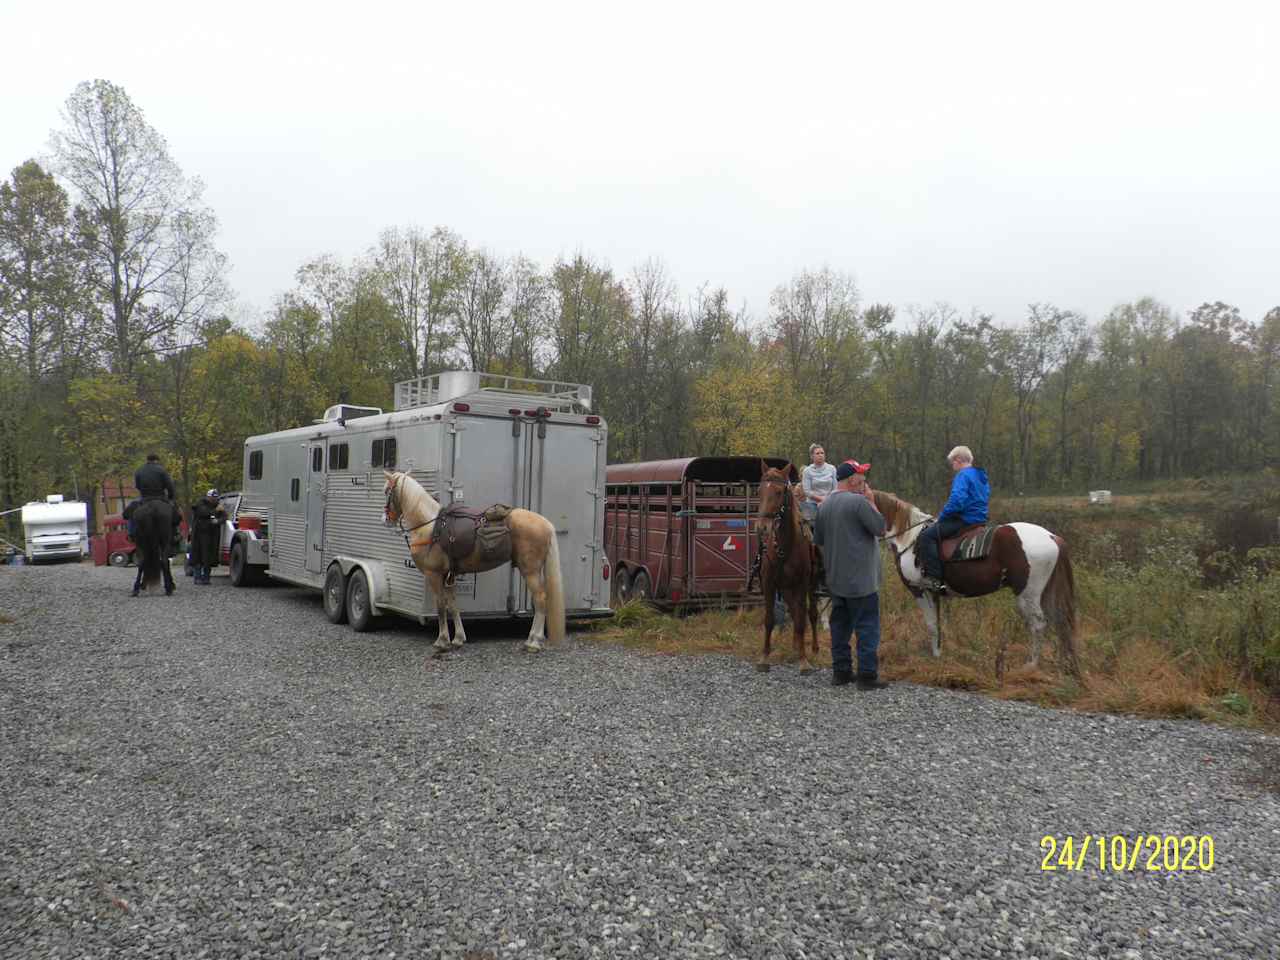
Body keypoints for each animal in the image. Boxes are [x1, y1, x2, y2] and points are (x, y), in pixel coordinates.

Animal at [378, 471, 560, 655]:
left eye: (386, 491)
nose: (385, 519)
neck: (429, 527)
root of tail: (546, 523)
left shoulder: (434, 575)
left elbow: (441, 606)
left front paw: (442, 641)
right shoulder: (449, 576)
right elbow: (452, 605)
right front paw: (458, 638)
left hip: (530, 571)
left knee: (540, 599)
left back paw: (534, 642)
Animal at [747, 465, 819, 675]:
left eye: (779, 492)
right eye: (759, 491)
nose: (762, 527)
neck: (786, 546)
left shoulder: (802, 584)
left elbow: (802, 619)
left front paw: (804, 661)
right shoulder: (770, 585)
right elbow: (770, 619)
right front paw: (764, 657)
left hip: (810, 586)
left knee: (810, 614)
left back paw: (813, 648)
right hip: (786, 589)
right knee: (794, 612)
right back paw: (796, 646)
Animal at [870, 491, 1080, 680]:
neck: (909, 538)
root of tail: (1052, 537)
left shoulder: (919, 590)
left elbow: (931, 625)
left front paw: (935, 658)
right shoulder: (933, 593)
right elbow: (937, 625)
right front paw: (939, 655)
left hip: (1028, 595)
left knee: (1038, 625)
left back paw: (1031, 666)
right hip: (1046, 593)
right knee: (1060, 623)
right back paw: (1065, 667)